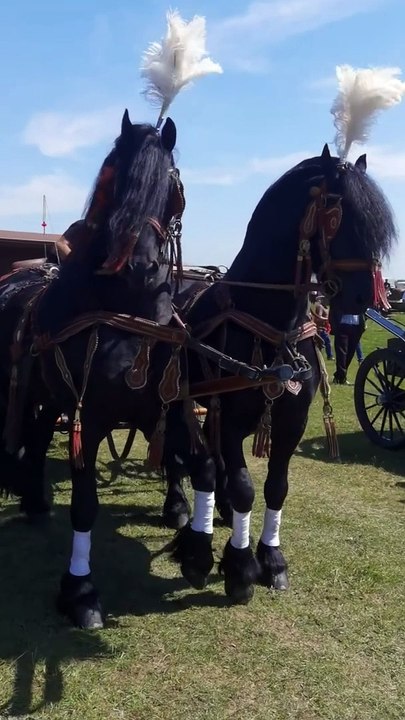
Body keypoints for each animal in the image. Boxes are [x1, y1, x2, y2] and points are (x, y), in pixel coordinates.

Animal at [163, 147, 395, 604]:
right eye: (338, 213)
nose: (369, 296)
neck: (270, 321)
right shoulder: (229, 420)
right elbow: (242, 487)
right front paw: (239, 567)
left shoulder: (291, 421)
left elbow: (275, 487)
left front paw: (270, 558)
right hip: (180, 403)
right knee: (184, 458)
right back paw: (187, 523)